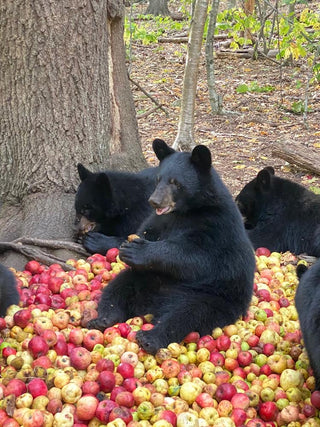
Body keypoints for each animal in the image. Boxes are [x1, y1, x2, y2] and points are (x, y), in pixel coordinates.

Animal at [88, 140, 255, 354]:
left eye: (176, 182)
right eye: (159, 179)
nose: (154, 201)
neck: (186, 211)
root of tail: (153, 304)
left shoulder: (216, 225)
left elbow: (197, 257)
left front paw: (138, 251)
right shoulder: (161, 220)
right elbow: (146, 230)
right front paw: (126, 246)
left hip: (213, 296)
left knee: (188, 314)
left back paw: (151, 337)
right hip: (146, 279)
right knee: (119, 287)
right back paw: (104, 319)